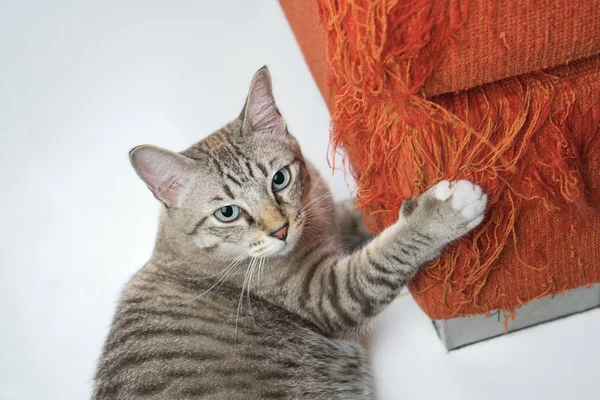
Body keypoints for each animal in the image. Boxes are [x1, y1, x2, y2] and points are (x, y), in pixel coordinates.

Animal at [94, 67, 488, 398]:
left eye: (279, 179)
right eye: (228, 213)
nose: (280, 230)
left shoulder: (327, 215)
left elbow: (363, 216)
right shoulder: (328, 295)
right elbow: (384, 256)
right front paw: (439, 212)